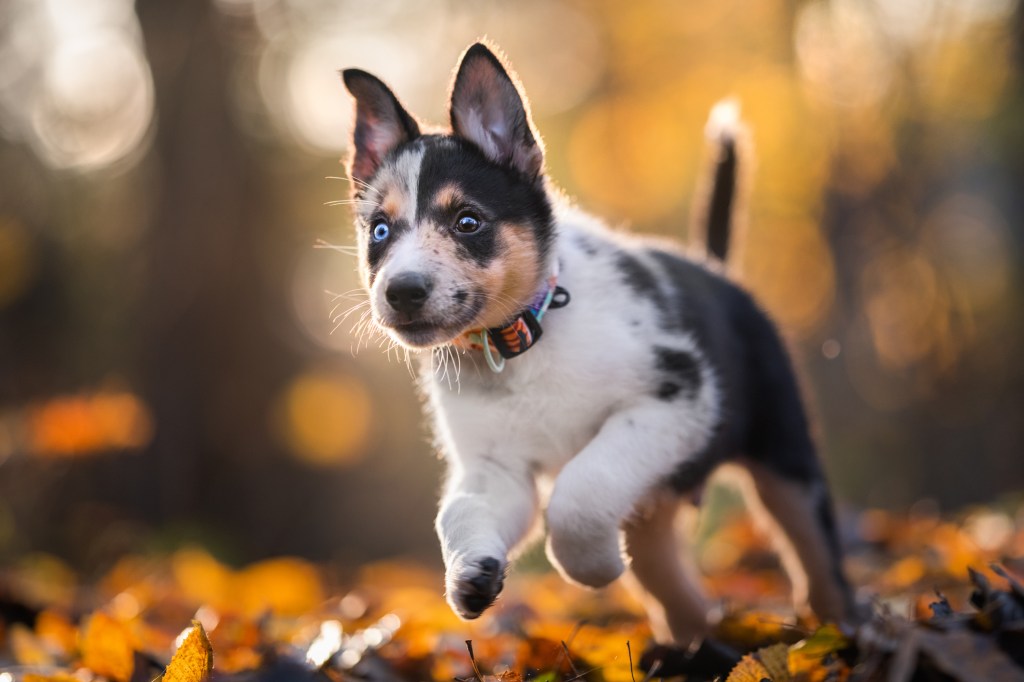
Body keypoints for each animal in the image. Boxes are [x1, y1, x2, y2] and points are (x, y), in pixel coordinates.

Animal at [339, 41, 851, 647]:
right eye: (379, 230)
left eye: (468, 221)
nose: (401, 292)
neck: (524, 344)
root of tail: (718, 272)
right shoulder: (496, 467)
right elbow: (459, 511)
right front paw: (471, 574)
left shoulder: (673, 399)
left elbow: (581, 491)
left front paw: (597, 567)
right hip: (659, 498)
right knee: (673, 583)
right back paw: (690, 647)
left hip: (785, 462)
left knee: (819, 564)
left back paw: (845, 634)